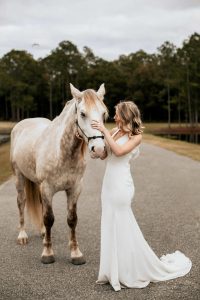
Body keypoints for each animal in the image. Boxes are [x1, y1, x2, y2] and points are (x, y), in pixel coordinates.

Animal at [10, 83, 108, 264]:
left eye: (104, 113)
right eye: (82, 113)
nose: (98, 149)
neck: (61, 152)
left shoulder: (74, 189)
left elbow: (72, 219)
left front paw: (76, 253)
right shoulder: (47, 188)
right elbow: (49, 218)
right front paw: (48, 253)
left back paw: (42, 233)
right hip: (19, 177)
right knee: (21, 202)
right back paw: (22, 235)